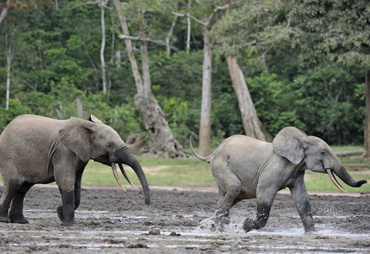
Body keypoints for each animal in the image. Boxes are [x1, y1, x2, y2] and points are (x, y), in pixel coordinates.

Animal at [0, 114, 150, 225]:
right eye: (110, 145)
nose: (147, 204)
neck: (89, 126)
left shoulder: (80, 155)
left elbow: (77, 184)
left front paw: (60, 213)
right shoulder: (63, 151)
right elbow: (66, 181)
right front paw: (70, 224)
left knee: (23, 188)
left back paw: (21, 221)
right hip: (9, 156)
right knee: (13, 184)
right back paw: (5, 220)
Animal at [191, 128, 368, 233]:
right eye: (323, 153)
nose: (365, 181)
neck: (301, 139)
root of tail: (213, 153)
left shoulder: (297, 172)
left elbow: (302, 200)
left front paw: (312, 233)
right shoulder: (273, 170)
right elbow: (264, 195)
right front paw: (246, 225)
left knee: (230, 196)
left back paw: (213, 226)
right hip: (221, 166)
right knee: (234, 188)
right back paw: (213, 226)